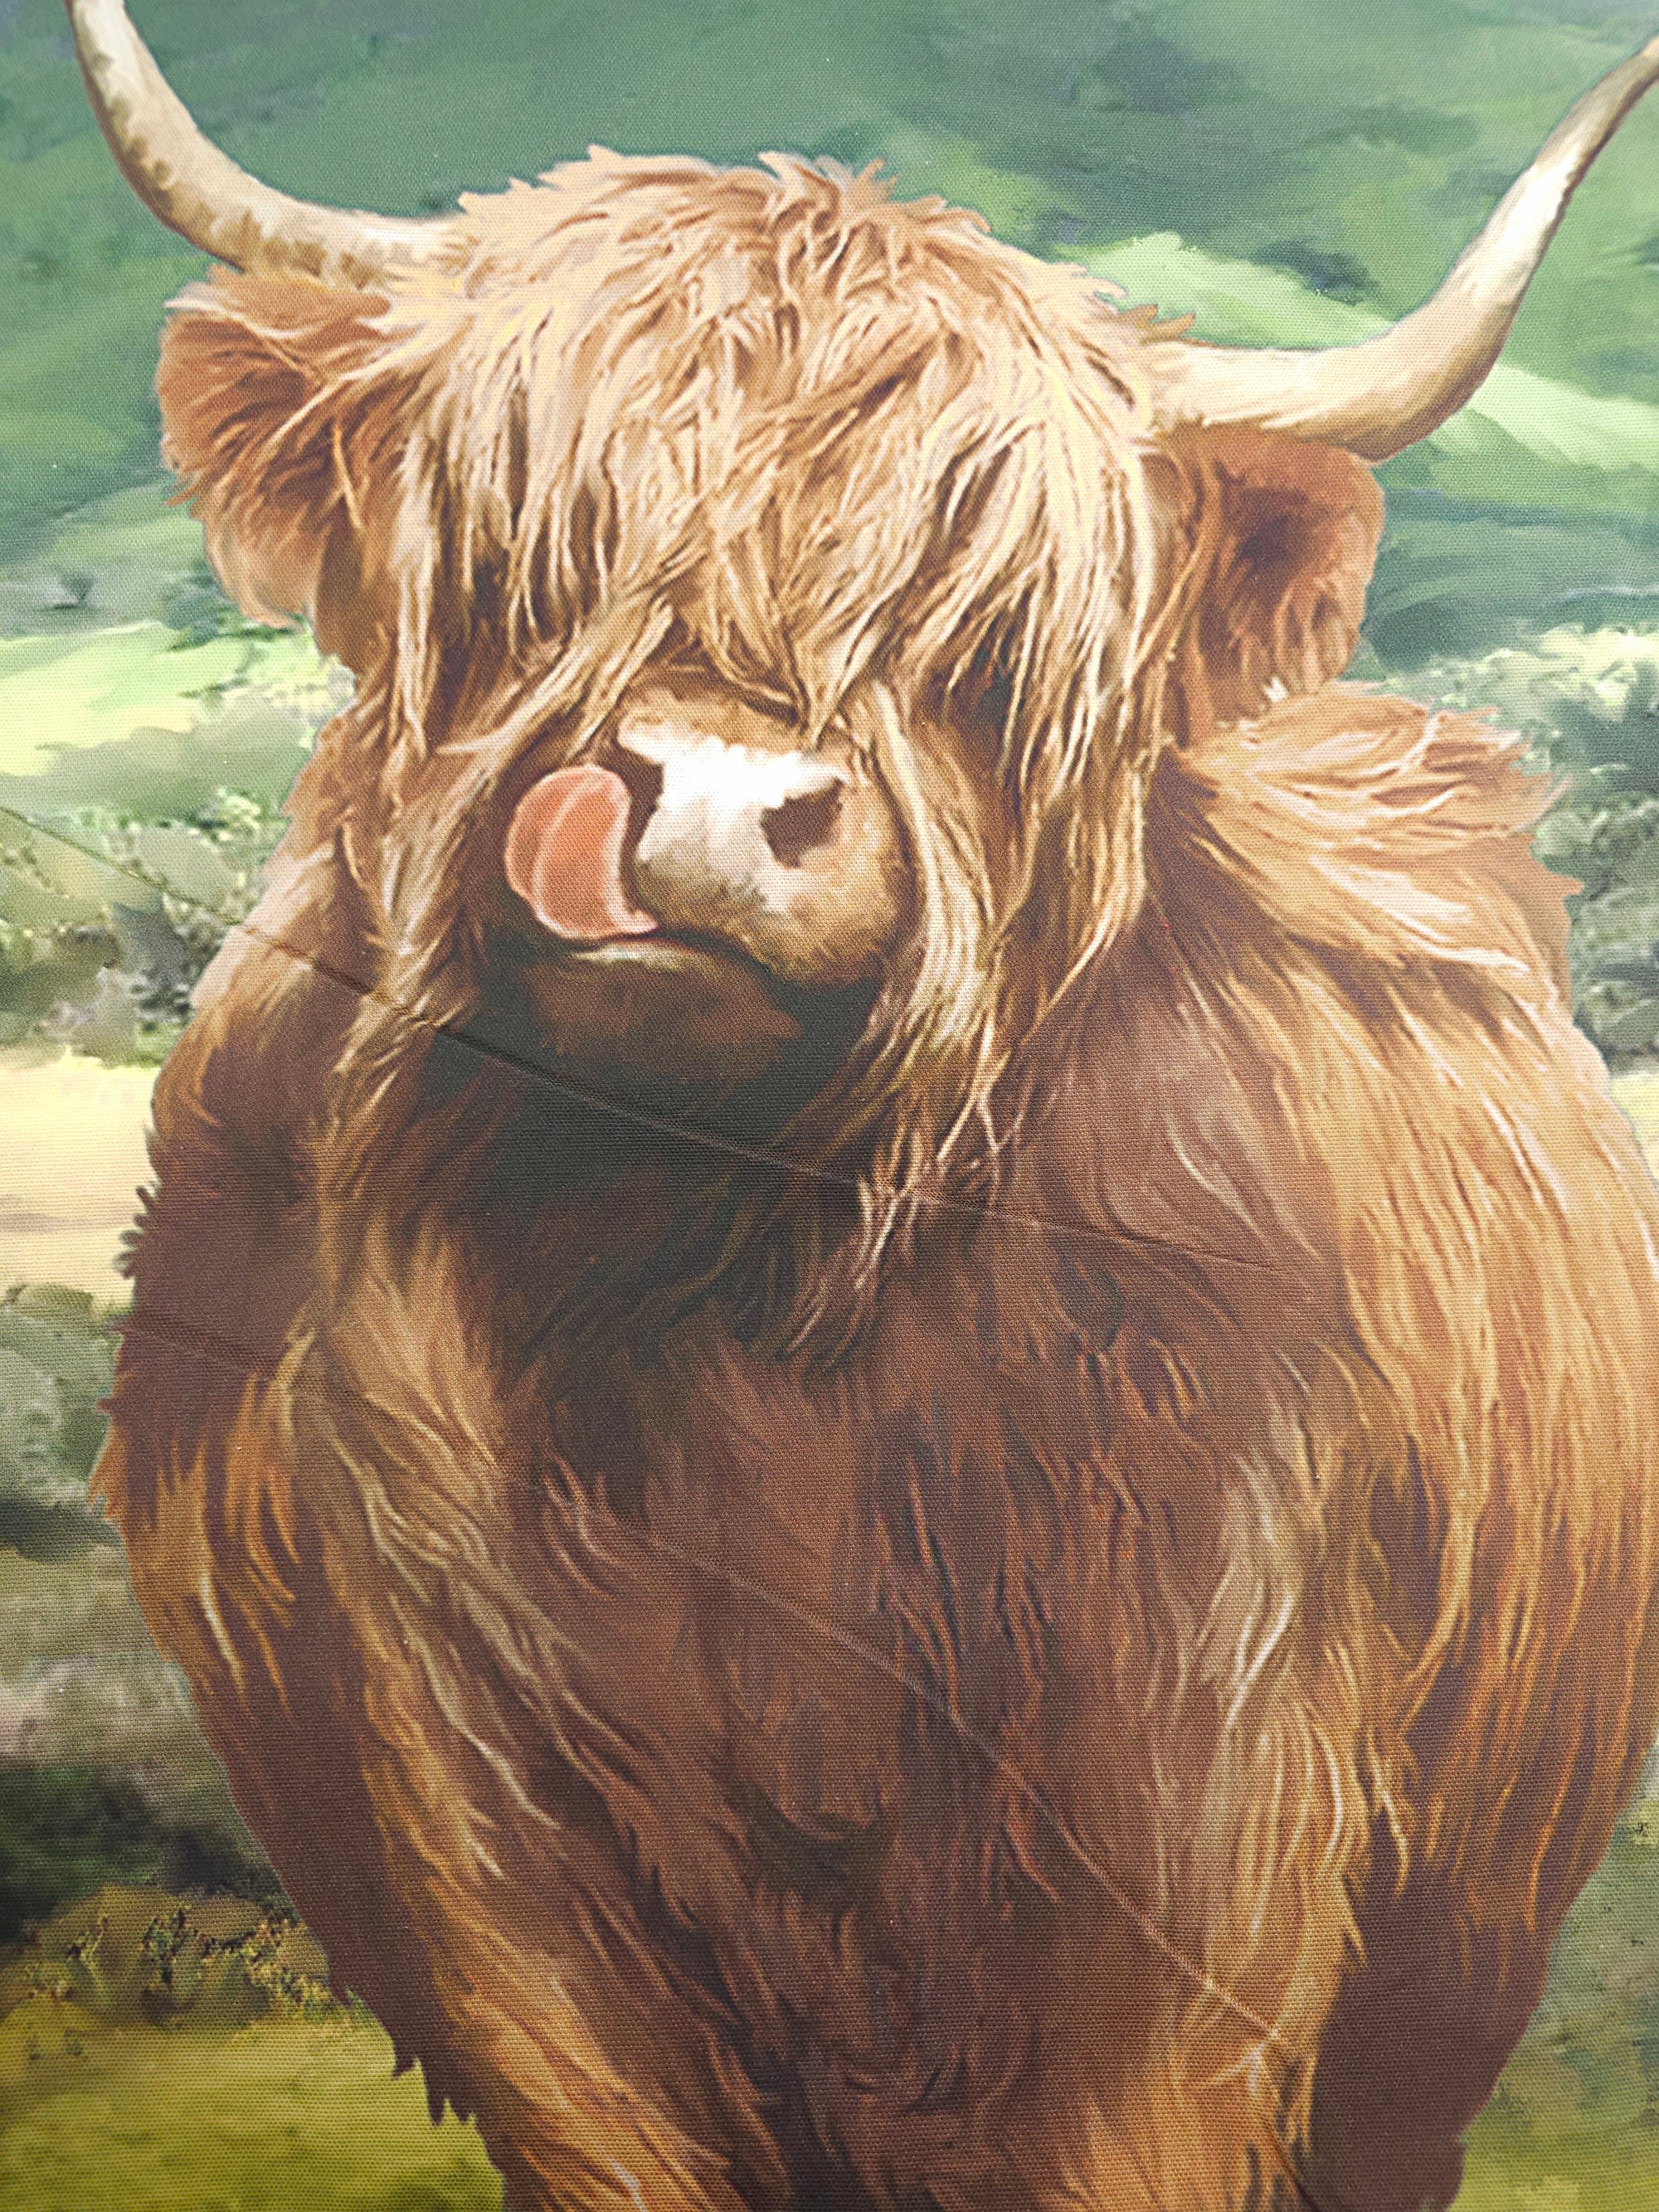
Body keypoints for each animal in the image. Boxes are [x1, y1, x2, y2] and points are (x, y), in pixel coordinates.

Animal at [68, 3, 1659, 2206]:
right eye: (532, 552)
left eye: (979, 635)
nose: (714, 810)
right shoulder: (470, 1837)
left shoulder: (1204, 1830)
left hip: (1458, 1940)